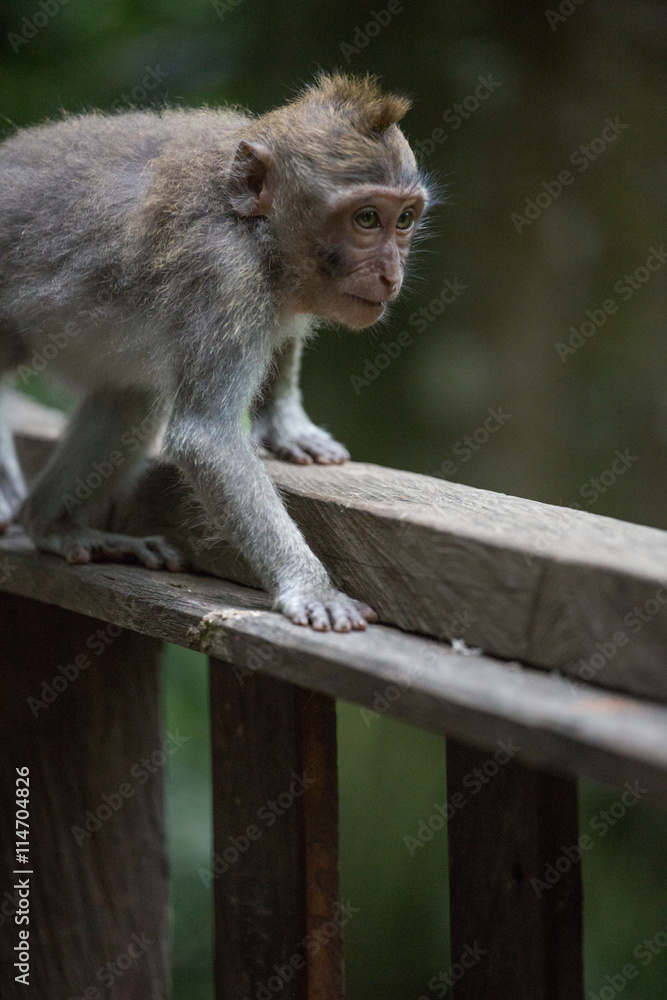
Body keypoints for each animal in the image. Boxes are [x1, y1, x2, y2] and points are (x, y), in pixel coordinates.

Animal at [0, 72, 430, 631]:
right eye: (367, 218)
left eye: (404, 220)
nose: (390, 274)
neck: (253, 231)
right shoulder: (225, 273)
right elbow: (207, 437)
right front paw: (311, 586)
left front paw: (285, 424)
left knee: (132, 399)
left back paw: (53, 524)